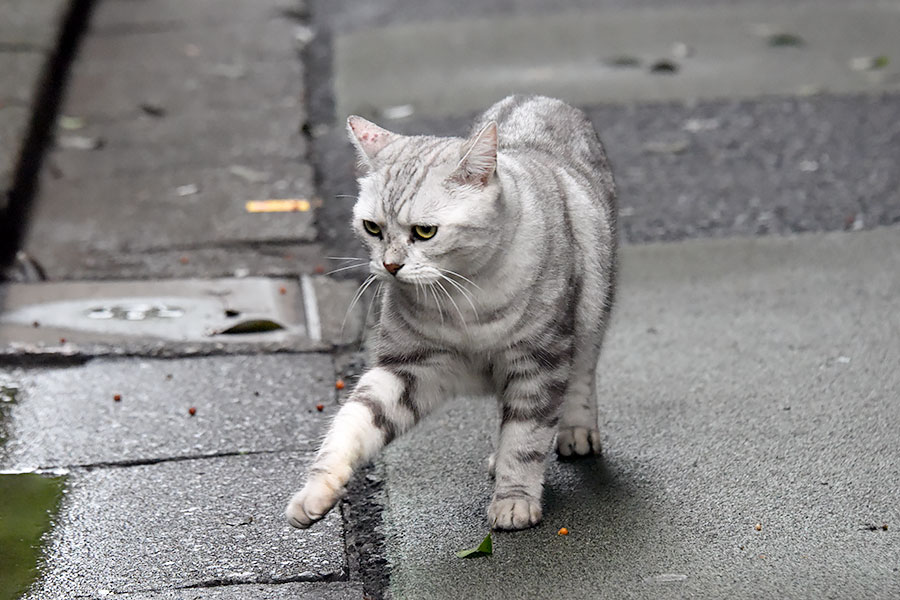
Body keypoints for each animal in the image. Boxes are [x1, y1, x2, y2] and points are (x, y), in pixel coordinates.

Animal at [288, 94, 620, 528]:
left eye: (425, 232)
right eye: (373, 228)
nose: (390, 266)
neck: (462, 300)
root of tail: (536, 97)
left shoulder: (539, 363)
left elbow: (526, 439)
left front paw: (514, 500)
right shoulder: (408, 368)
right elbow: (354, 421)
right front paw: (316, 490)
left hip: (591, 315)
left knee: (581, 375)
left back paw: (576, 432)